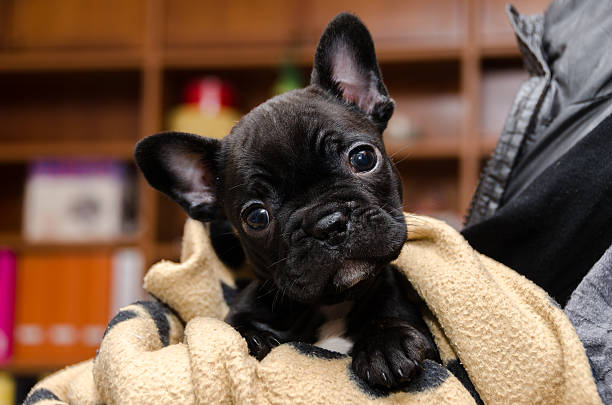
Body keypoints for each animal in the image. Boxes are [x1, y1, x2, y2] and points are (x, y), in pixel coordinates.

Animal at [136, 12, 438, 390]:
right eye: (256, 217)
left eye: (363, 158)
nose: (328, 225)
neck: (330, 306)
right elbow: (233, 329)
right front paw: (254, 339)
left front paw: (387, 342)